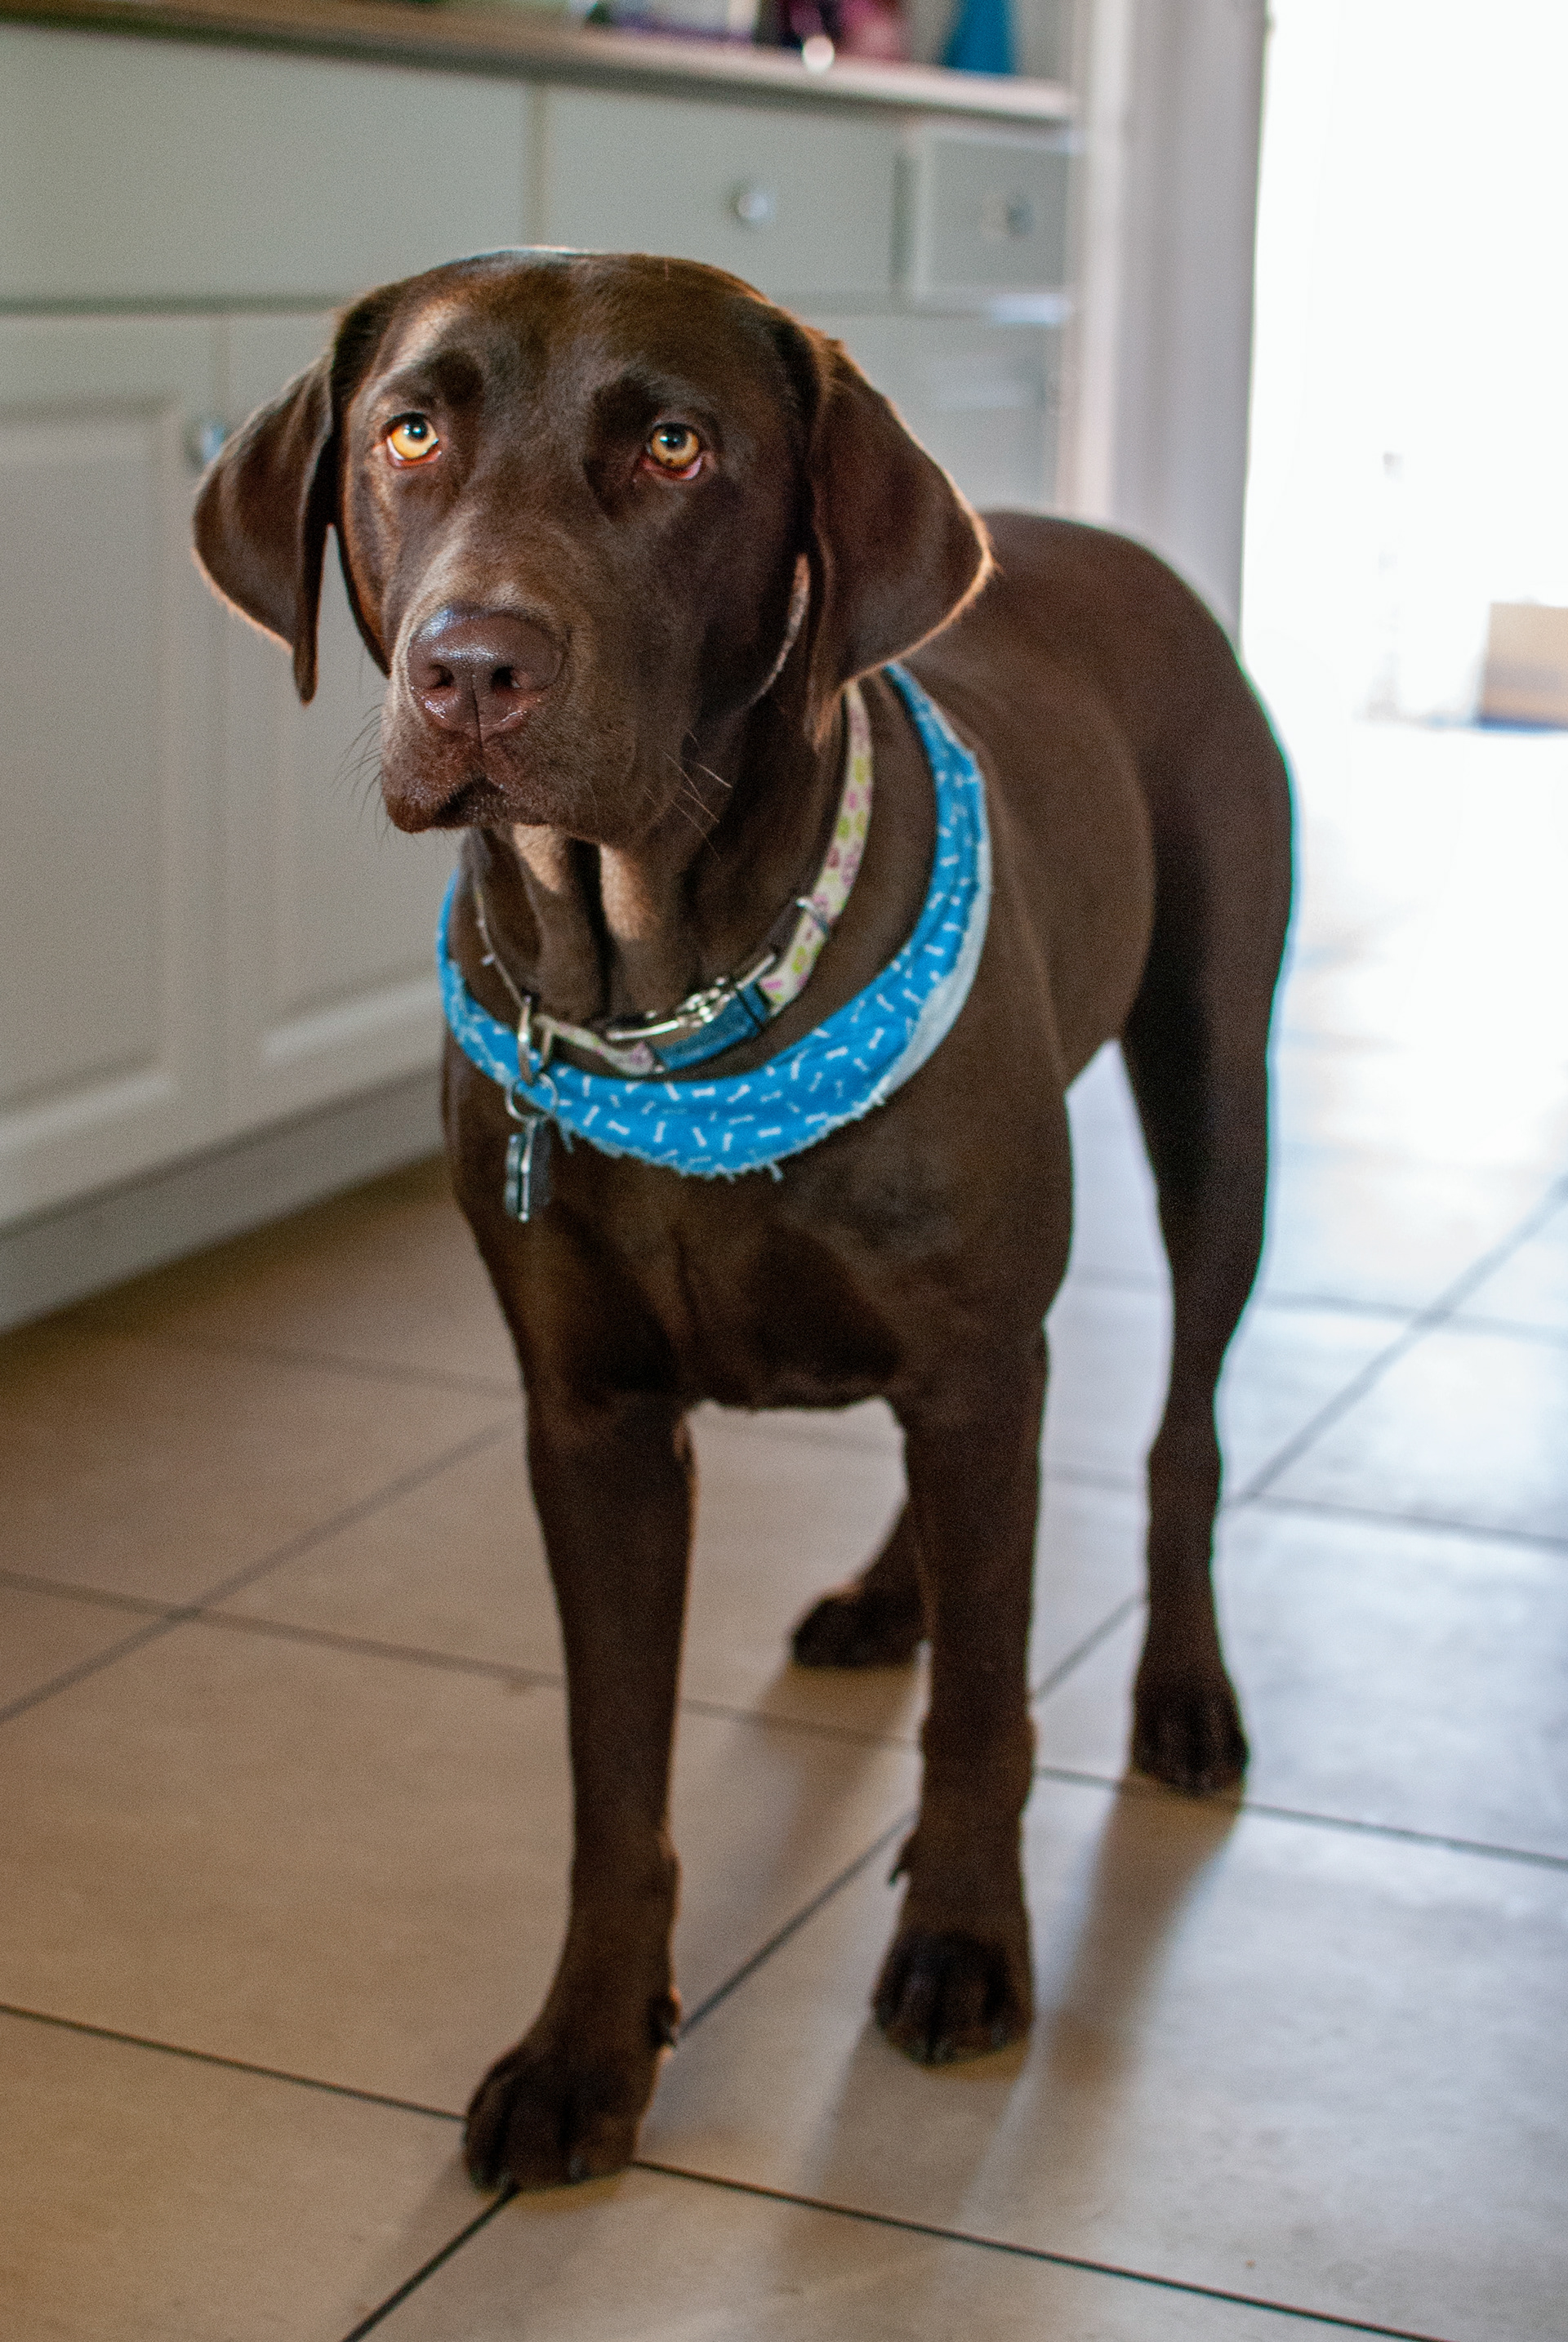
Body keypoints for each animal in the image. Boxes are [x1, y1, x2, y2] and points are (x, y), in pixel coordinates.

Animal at [194, 249, 1292, 2193]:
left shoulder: (968, 1346)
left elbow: (984, 1712)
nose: (472, 663)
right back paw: (888, 1591)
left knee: (1178, 1432)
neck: (663, 991)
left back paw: (1180, 1689)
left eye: (677, 447)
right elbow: (612, 1770)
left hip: (1215, 1087)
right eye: (407, 433)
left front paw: (961, 1941)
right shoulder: (596, 1422)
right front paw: (585, 2045)